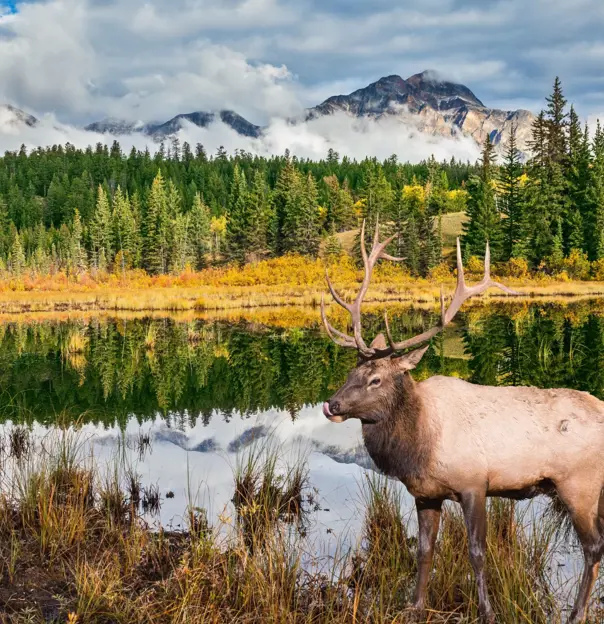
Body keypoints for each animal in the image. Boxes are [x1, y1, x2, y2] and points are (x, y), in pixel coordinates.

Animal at [320, 221, 604, 624]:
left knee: (594, 547)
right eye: (350, 372)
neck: (419, 445)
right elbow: (424, 551)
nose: (332, 404)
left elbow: (477, 553)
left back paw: (576, 614)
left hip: (578, 484)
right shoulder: (425, 494)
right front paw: (415, 605)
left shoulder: (474, 483)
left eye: (375, 379)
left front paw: (487, 611)